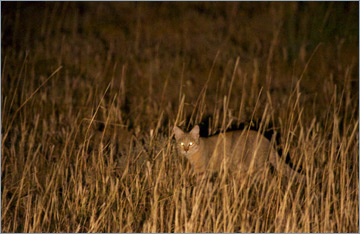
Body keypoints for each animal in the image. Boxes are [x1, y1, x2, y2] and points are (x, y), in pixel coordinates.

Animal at [174, 124, 304, 181]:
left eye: (190, 144)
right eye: (182, 144)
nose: (185, 149)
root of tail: (266, 139)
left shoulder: (202, 172)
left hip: (256, 166)